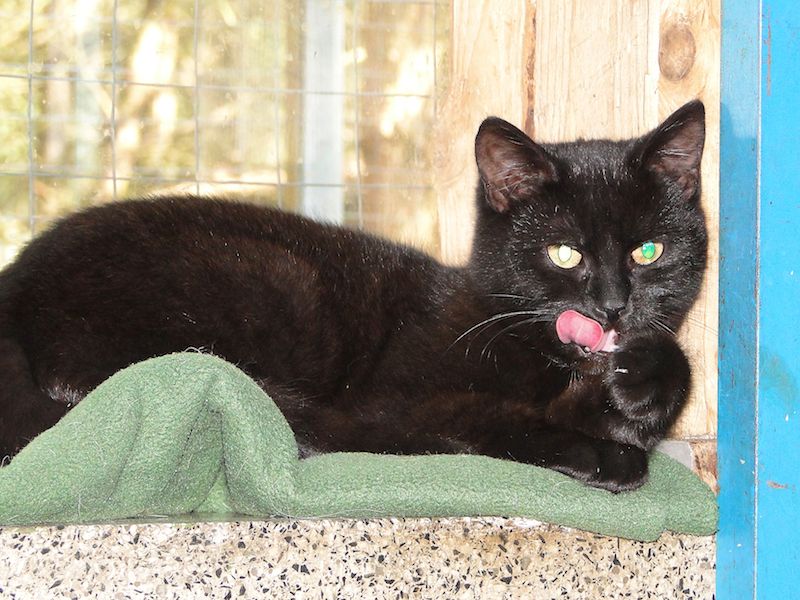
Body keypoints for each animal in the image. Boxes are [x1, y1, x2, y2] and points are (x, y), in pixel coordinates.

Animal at [0, 100, 707, 492]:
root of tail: (16, 286)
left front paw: (637, 386)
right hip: (280, 279)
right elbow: (492, 416)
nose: (613, 306)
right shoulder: (412, 395)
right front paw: (601, 450)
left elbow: (668, 373)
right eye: (565, 254)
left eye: (649, 252)